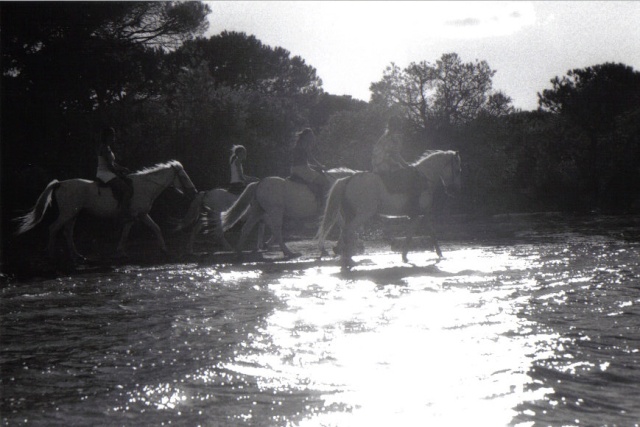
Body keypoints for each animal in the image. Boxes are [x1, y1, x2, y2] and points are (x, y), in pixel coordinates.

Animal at [15, 160, 198, 260]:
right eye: (183, 176)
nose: (194, 192)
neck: (145, 186)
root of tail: (60, 183)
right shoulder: (139, 215)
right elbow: (148, 229)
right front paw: (163, 250)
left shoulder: (137, 216)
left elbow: (139, 231)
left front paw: (121, 252)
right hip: (68, 213)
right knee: (54, 228)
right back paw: (51, 254)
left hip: (73, 213)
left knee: (68, 231)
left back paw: (76, 255)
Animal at [220, 169, 358, 260]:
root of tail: (259, 183)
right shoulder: (333, 211)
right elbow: (340, 226)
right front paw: (337, 247)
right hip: (275, 212)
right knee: (276, 231)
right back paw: (289, 253)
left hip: (258, 211)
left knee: (247, 228)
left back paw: (239, 252)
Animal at [318, 152, 460, 270]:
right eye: (457, 169)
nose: (454, 191)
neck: (425, 178)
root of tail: (348, 179)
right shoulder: (420, 215)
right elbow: (420, 235)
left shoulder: (421, 215)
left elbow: (426, 234)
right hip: (363, 214)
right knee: (348, 231)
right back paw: (348, 258)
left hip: (350, 214)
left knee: (345, 231)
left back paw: (343, 254)